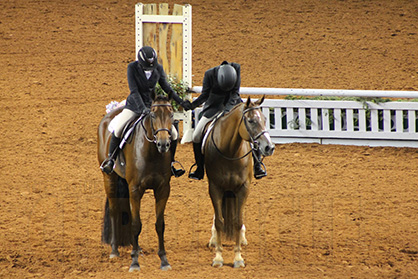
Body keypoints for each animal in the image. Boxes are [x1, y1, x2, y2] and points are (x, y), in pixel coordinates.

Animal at [97, 94, 174, 272]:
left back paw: (136, 247)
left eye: (172, 115)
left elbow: (160, 224)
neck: (152, 152)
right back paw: (114, 250)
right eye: (152, 115)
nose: (163, 144)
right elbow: (136, 224)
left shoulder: (163, 189)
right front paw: (134, 263)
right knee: (114, 210)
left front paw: (164, 260)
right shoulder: (135, 189)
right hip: (109, 178)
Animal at [203, 97, 274, 270]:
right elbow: (219, 221)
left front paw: (238, 258)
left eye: (264, 119)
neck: (230, 151)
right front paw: (218, 257)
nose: (269, 147)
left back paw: (241, 237)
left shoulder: (243, 188)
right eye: (251, 120)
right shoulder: (215, 188)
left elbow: (237, 221)